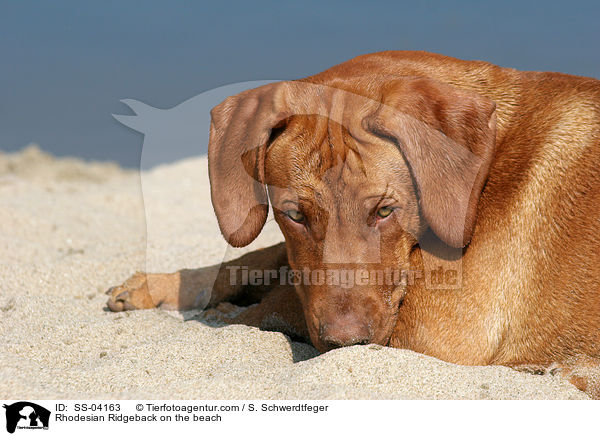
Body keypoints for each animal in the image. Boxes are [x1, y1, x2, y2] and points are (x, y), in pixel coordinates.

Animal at [106, 51, 600, 398]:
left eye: (384, 211)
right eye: (295, 214)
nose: (347, 342)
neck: (490, 167)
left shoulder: (436, 328)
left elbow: (273, 303)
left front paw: (224, 311)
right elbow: (261, 262)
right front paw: (165, 284)